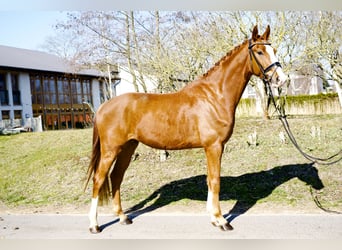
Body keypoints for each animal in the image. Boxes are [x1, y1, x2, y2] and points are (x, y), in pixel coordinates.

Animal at [85, 25, 286, 232]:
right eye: (259, 51)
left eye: (274, 50)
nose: (281, 79)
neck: (215, 95)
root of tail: (103, 106)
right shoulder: (214, 146)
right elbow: (215, 180)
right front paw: (221, 220)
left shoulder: (211, 148)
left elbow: (209, 180)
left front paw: (213, 218)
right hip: (110, 149)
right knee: (99, 179)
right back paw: (94, 225)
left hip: (128, 147)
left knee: (116, 177)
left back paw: (123, 217)